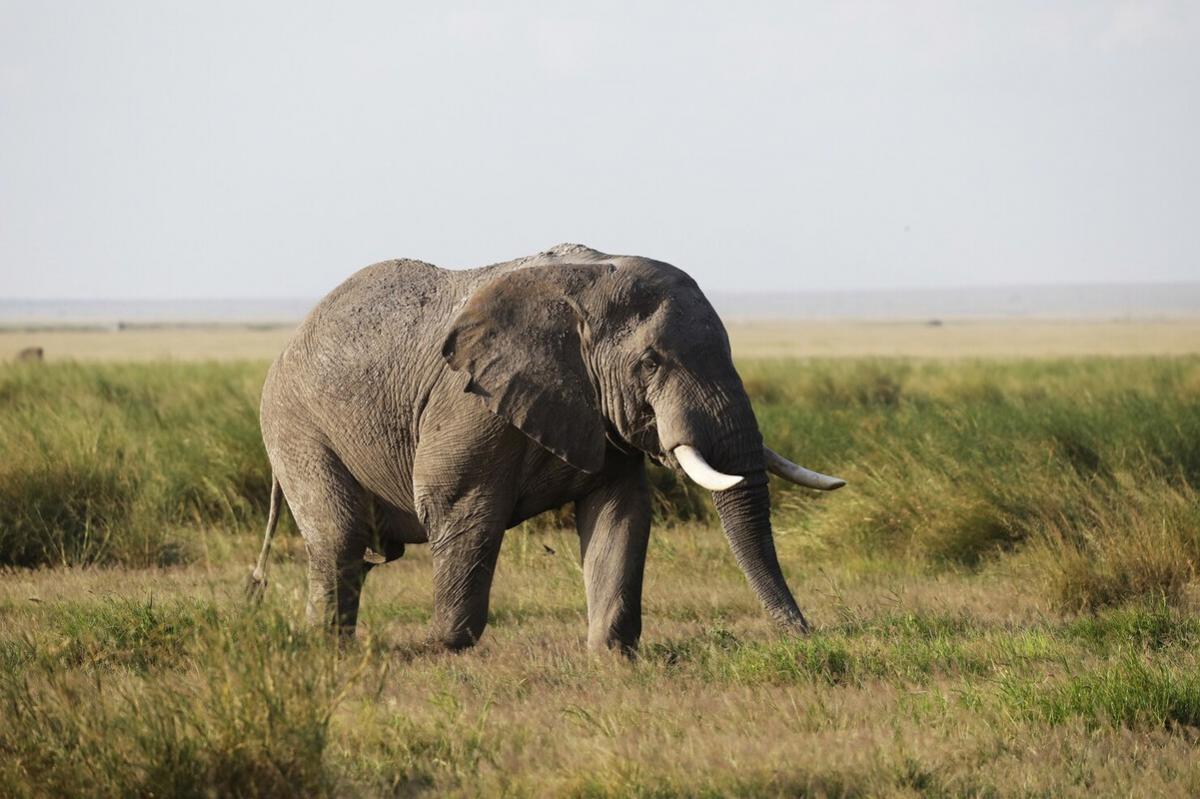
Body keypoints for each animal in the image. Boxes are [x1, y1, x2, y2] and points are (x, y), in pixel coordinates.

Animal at [249, 244, 844, 652]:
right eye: (650, 363)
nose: (805, 633)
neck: (585, 288)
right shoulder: (468, 403)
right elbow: (460, 507)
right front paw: (439, 649)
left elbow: (620, 515)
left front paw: (611, 655)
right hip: (296, 426)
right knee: (340, 539)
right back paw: (328, 649)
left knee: (365, 552)